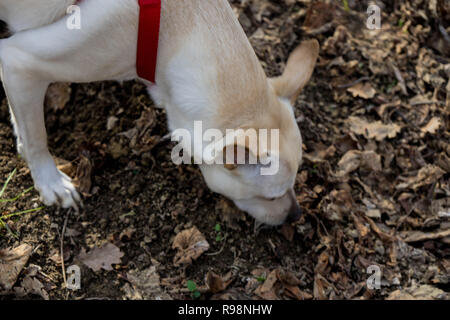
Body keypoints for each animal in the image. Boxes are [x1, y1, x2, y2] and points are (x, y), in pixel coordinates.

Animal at [0, 0, 320, 225]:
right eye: (272, 197)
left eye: (294, 185)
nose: (296, 216)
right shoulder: (18, 61)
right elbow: (36, 138)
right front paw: (50, 182)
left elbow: (23, 126)